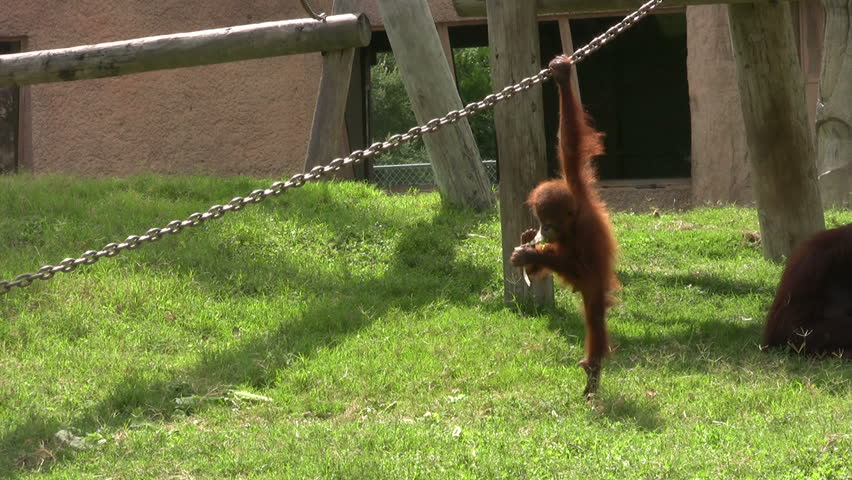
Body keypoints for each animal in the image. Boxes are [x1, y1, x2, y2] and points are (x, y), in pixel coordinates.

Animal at [510, 55, 620, 397]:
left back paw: (593, 369)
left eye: (550, 222)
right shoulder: (575, 184)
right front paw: (561, 75)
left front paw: (530, 253)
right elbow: (570, 145)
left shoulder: (585, 233)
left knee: (594, 316)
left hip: (595, 286)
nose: (543, 231)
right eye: (541, 221)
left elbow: (579, 266)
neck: (574, 220)